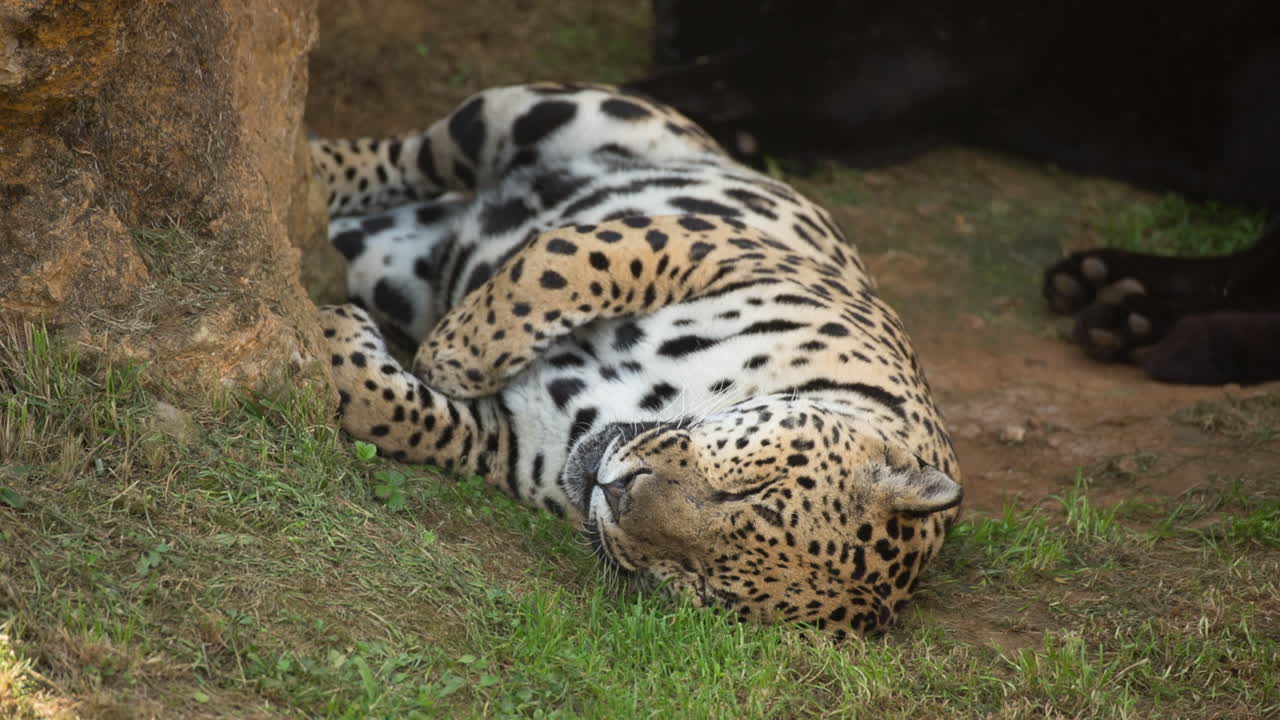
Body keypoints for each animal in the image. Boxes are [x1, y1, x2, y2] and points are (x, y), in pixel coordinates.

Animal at [311, 83, 962, 639]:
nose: (617, 491)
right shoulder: (719, 248)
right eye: (749, 489)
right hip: (544, 111)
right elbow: (570, 260)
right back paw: (314, 167)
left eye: (697, 582)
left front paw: (342, 340)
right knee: (411, 156)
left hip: (386, 261)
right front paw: (452, 353)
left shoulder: (513, 443)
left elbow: (401, 415)